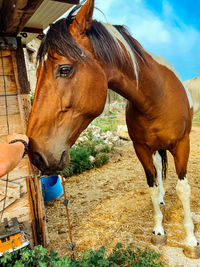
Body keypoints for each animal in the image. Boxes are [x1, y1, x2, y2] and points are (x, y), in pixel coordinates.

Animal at [26, 0, 198, 256]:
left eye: (64, 69)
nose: (36, 153)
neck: (157, 97)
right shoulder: (141, 148)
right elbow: (152, 186)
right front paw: (158, 230)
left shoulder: (182, 145)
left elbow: (183, 189)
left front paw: (190, 240)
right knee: (159, 169)